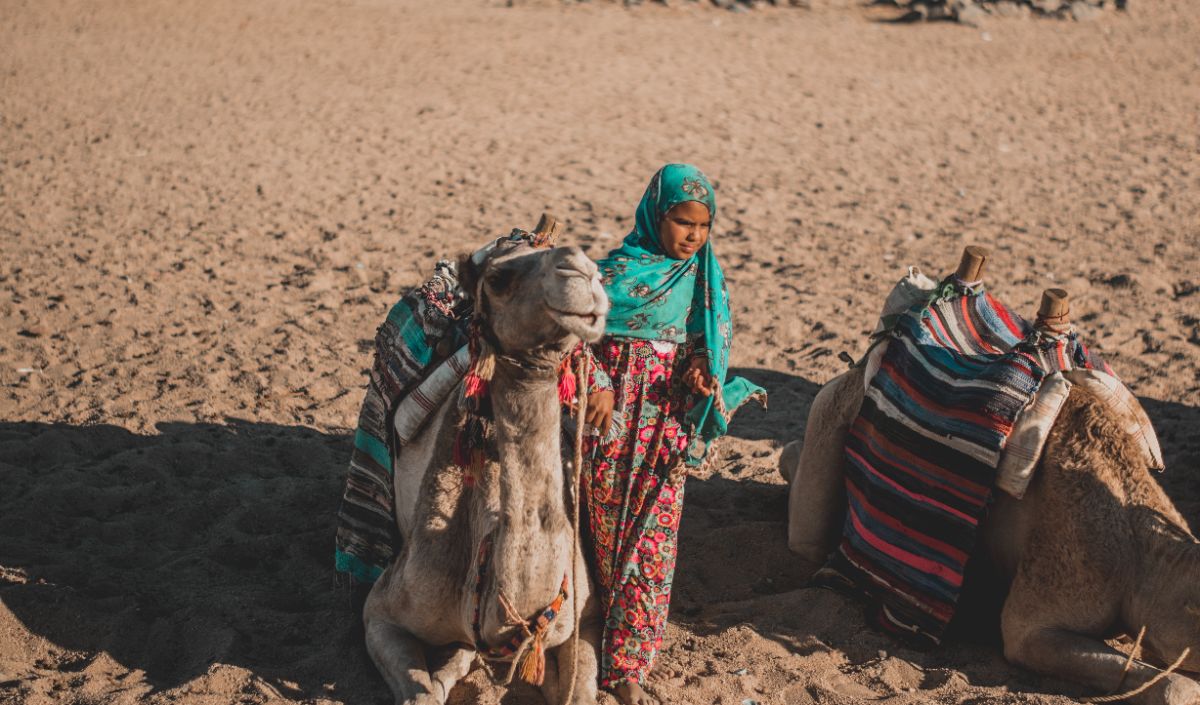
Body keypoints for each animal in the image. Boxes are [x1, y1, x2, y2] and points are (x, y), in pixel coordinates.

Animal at [362, 238, 609, 705]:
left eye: (596, 268)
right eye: (497, 278)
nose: (582, 270)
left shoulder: (582, 621)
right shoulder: (381, 610)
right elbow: (422, 694)